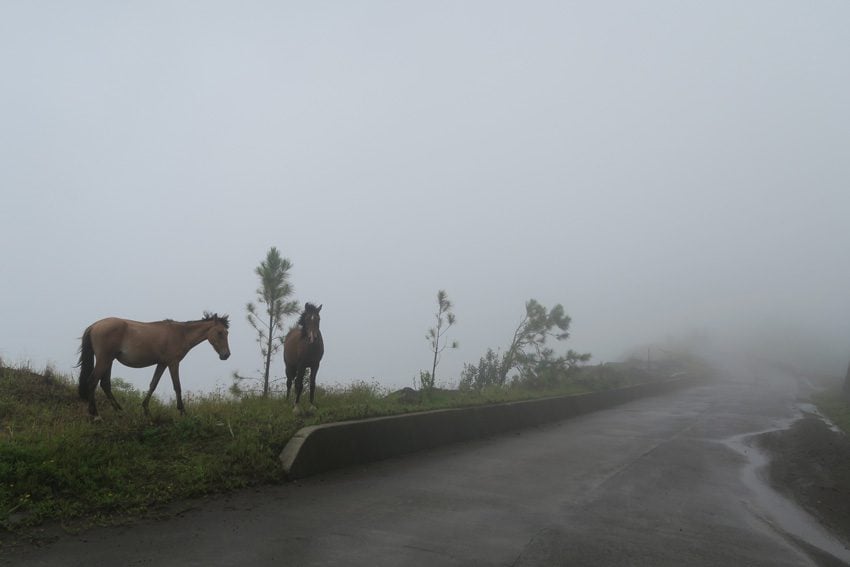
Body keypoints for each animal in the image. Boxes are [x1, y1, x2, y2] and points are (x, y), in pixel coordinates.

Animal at [78, 312, 230, 420]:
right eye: (220, 332)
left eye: (227, 332)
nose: (226, 355)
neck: (181, 334)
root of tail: (95, 325)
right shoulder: (173, 363)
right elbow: (177, 387)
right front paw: (182, 411)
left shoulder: (162, 363)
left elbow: (153, 384)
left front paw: (146, 410)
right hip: (104, 359)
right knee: (92, 381)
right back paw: (96, 415)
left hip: (109, 360)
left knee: (105, 384)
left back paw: (120, 411)